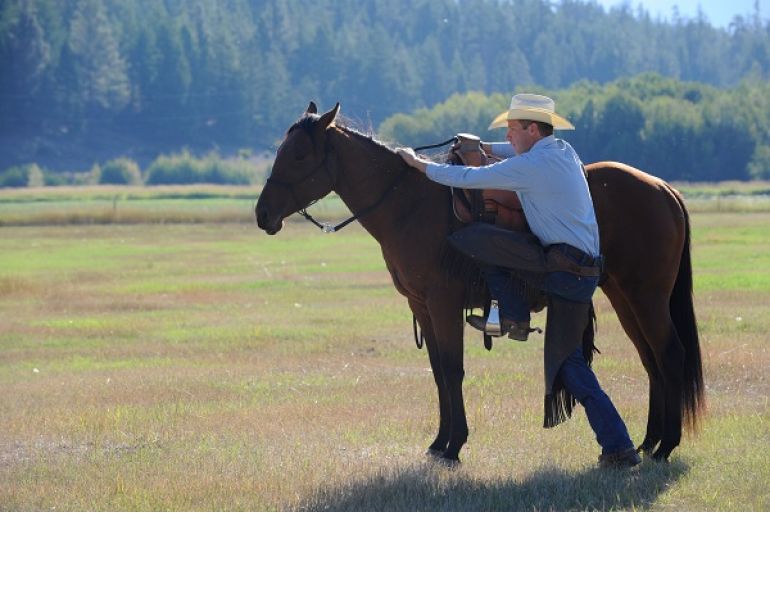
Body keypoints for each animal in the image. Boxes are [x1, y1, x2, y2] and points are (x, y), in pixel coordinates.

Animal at [256, 102, 704, 464]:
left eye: (298, 154)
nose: (262, 214)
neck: (409, 204)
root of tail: (663, 188)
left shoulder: (442, 304)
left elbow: (453, 370)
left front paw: (454, 446)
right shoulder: (422, 306)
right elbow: (439, 371)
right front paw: (439, 442)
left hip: (647, 297)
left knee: (669, 354)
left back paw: (665, 446)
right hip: (625, 298)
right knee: (651, 360)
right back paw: (648, 441)